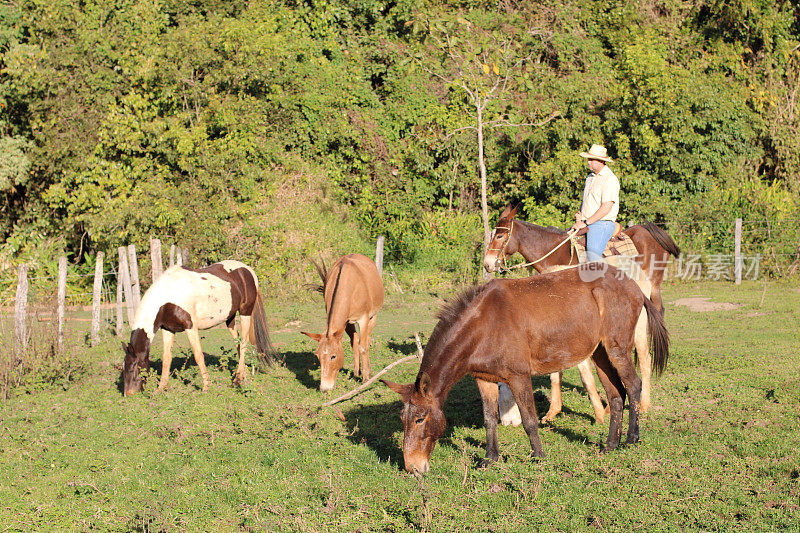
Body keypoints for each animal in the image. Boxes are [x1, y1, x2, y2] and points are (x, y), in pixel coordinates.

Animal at [120, 260, 274, 396]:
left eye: (133, 367)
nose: (129, 394)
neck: (168, 297)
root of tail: (248, 270)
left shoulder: (190, 327)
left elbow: (198, 355)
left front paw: (206, 386)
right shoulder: (168, 330)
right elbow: (166, 359)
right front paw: (160, 389)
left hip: (245, 312)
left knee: (244, 343)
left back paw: (237, 380)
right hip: (230, 318)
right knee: (239, 344)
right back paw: (243, 376)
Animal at [302, 254, 386, 390]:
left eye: (333, 356)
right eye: (318, 356)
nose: (324, 388)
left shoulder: (363, 319)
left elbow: (363, 346)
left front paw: (366, 378)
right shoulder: (345, 322)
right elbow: (355, 343)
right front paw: (359, 373)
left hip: (373, 316)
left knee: (367, 340)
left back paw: (368, 372)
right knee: (355, 340)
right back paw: (357, 371)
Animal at [382, 266, 668, 474]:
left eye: (420, 419)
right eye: (403, 419)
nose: (412, 468)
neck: (484, 324)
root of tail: (634, 286)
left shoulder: (519, 377)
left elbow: (530, 421)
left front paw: (538, 457)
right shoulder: (484, 379)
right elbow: (489, 420)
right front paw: (490, 459)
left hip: (617, 348)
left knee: (634, 386)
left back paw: (631, 439)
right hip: (600, 353)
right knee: (616, 395)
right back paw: (610, 446)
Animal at [484, 204, 680, 416]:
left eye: (500, 235)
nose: (487, 264)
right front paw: (554, 410)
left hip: (652, 293)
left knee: (647, 349)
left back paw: (643, 404)